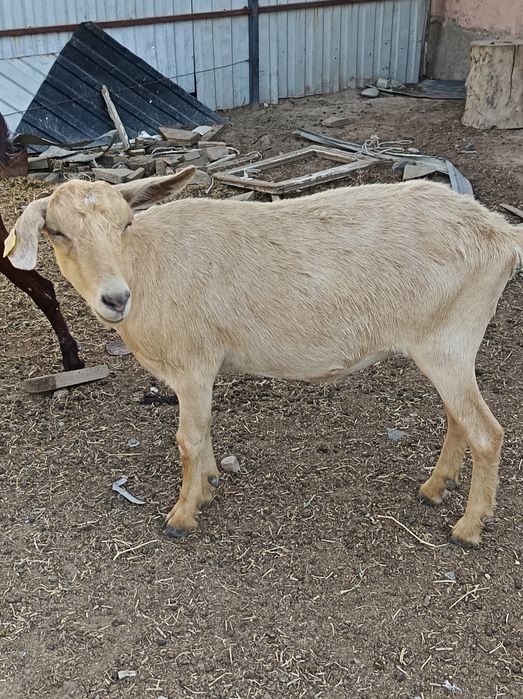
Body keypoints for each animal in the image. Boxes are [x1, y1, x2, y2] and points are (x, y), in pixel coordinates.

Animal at [8, 169, 523, 545]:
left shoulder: (193, 363)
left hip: (449, 339)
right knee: (459, 418)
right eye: (58, 232)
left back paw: (468, 528)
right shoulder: (201, 369)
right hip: (448, 345)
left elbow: (187, 439)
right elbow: (203, 431)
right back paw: (435, 489)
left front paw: (181, 516)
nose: (115, 299)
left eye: (125, 224)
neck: (145, 266)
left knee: (487, 432)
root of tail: (501, 233)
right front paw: (210, 485)